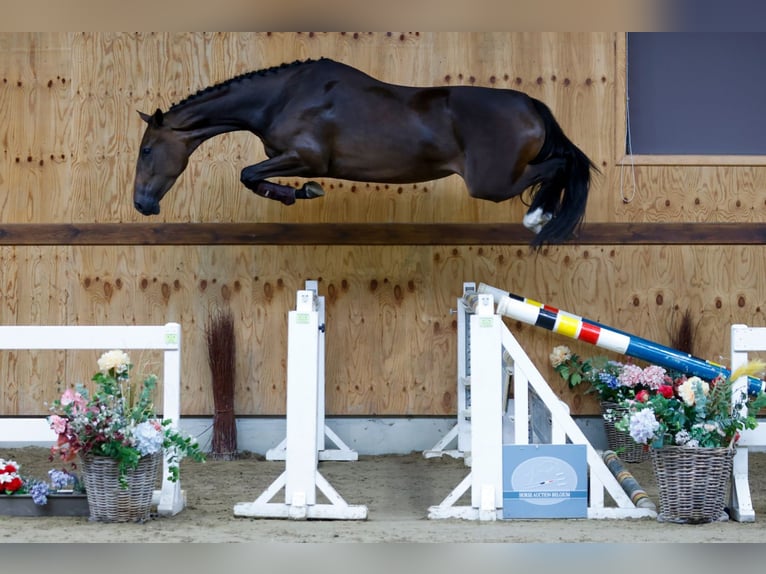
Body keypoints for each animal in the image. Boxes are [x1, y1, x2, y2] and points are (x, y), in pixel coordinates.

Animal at [134, 57, 600, 249]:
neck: (282, 97)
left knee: (559, 165)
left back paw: (538, 217)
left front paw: (302, 192)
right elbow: (252, 174)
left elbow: (249, 174)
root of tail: (531, 105)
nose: (142, 205)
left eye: (147, 149)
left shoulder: (307, 157)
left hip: (490, 183)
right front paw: (303, 192)